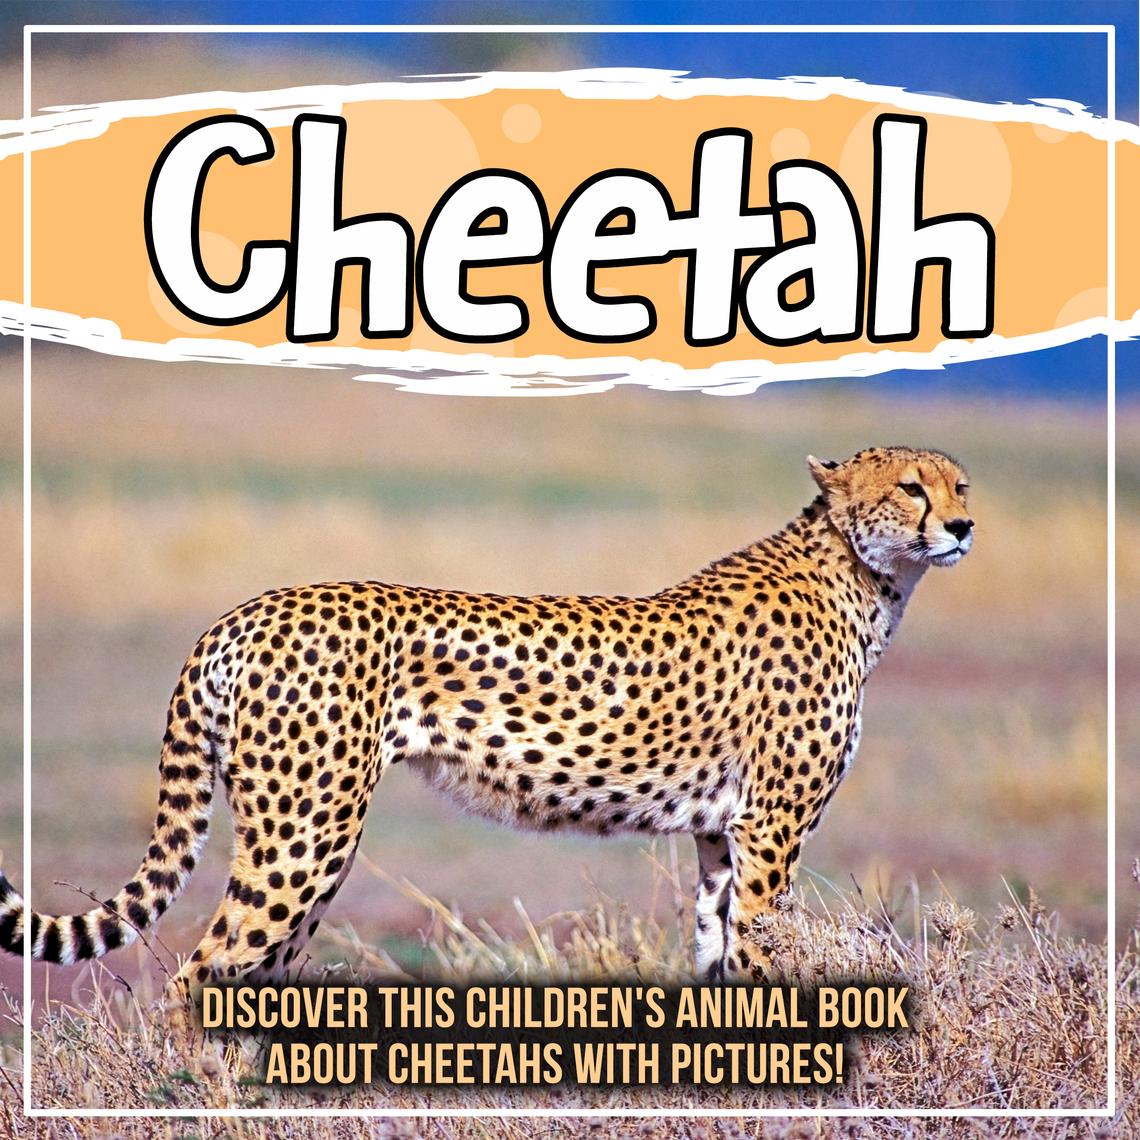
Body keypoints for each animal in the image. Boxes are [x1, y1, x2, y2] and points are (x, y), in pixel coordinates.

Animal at [0, 445, 972, 1001]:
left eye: (960, 485)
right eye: (911, 488)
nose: (962, 524)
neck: (864, 579)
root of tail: (245, 609)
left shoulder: (720, 835)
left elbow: (718, 953)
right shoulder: (770, 830)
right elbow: (765, 956)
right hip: (305, 836)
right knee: (201, 975)